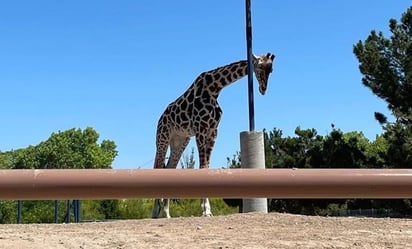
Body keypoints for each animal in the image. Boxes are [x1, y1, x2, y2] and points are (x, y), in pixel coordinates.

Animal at [153, 53, 276, 218]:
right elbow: (202, 167)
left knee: (169, 168)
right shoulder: (200, 129)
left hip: (180, 141)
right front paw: (205, 210)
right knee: (158, 167)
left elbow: (207, 168)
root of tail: (161, 118)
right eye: (260, 67)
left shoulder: (213, 131)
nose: (263, 89)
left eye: (271, 70)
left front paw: (207, 210)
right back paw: (156, 211)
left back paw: (166, 214)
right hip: (162, 137)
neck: (215, 88)